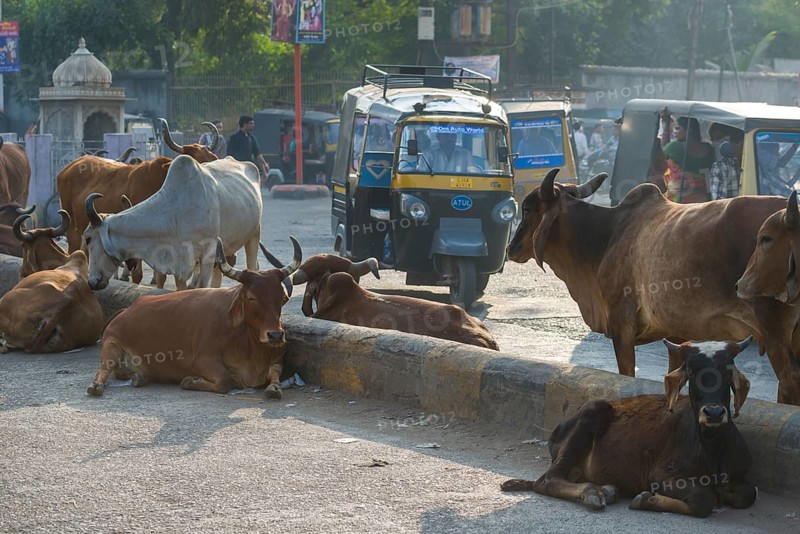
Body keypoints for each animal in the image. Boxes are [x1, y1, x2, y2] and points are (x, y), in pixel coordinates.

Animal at [83, 154, 262, 291]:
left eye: (88, 238)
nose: (92, 282)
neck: (174, 216)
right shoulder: (180, 266)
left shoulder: (209, 253)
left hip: (254, 235)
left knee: (251, 265)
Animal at [86, 237, 301, 398]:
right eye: (251, 297)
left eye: (282, 298)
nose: (275, 335)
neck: (248, 342)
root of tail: (126, 309)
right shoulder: (202, 361)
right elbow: (226, 381)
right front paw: (190, 381)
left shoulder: (277, 359)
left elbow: (275, 373)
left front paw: (274, 388)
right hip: (112, 345)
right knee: (104, 370)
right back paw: (97, 386)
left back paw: (141, 377)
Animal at [501, 339, 757, 518]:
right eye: (692, 372)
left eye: (727, 372)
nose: (713, 413)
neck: (713, 450)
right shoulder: (661, 475)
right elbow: (704, 499)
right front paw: (646, 499)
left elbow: (749, 494)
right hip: (592, 411)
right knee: (547, 480)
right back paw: (594, 493)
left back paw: (606, 490)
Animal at [507, 168, 800, 405]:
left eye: (527, 209)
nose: (511, 248)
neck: (606, 236)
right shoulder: (677, 335)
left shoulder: (621, 325)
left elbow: (626, 375)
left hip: (774, 330)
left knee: (788, 384)